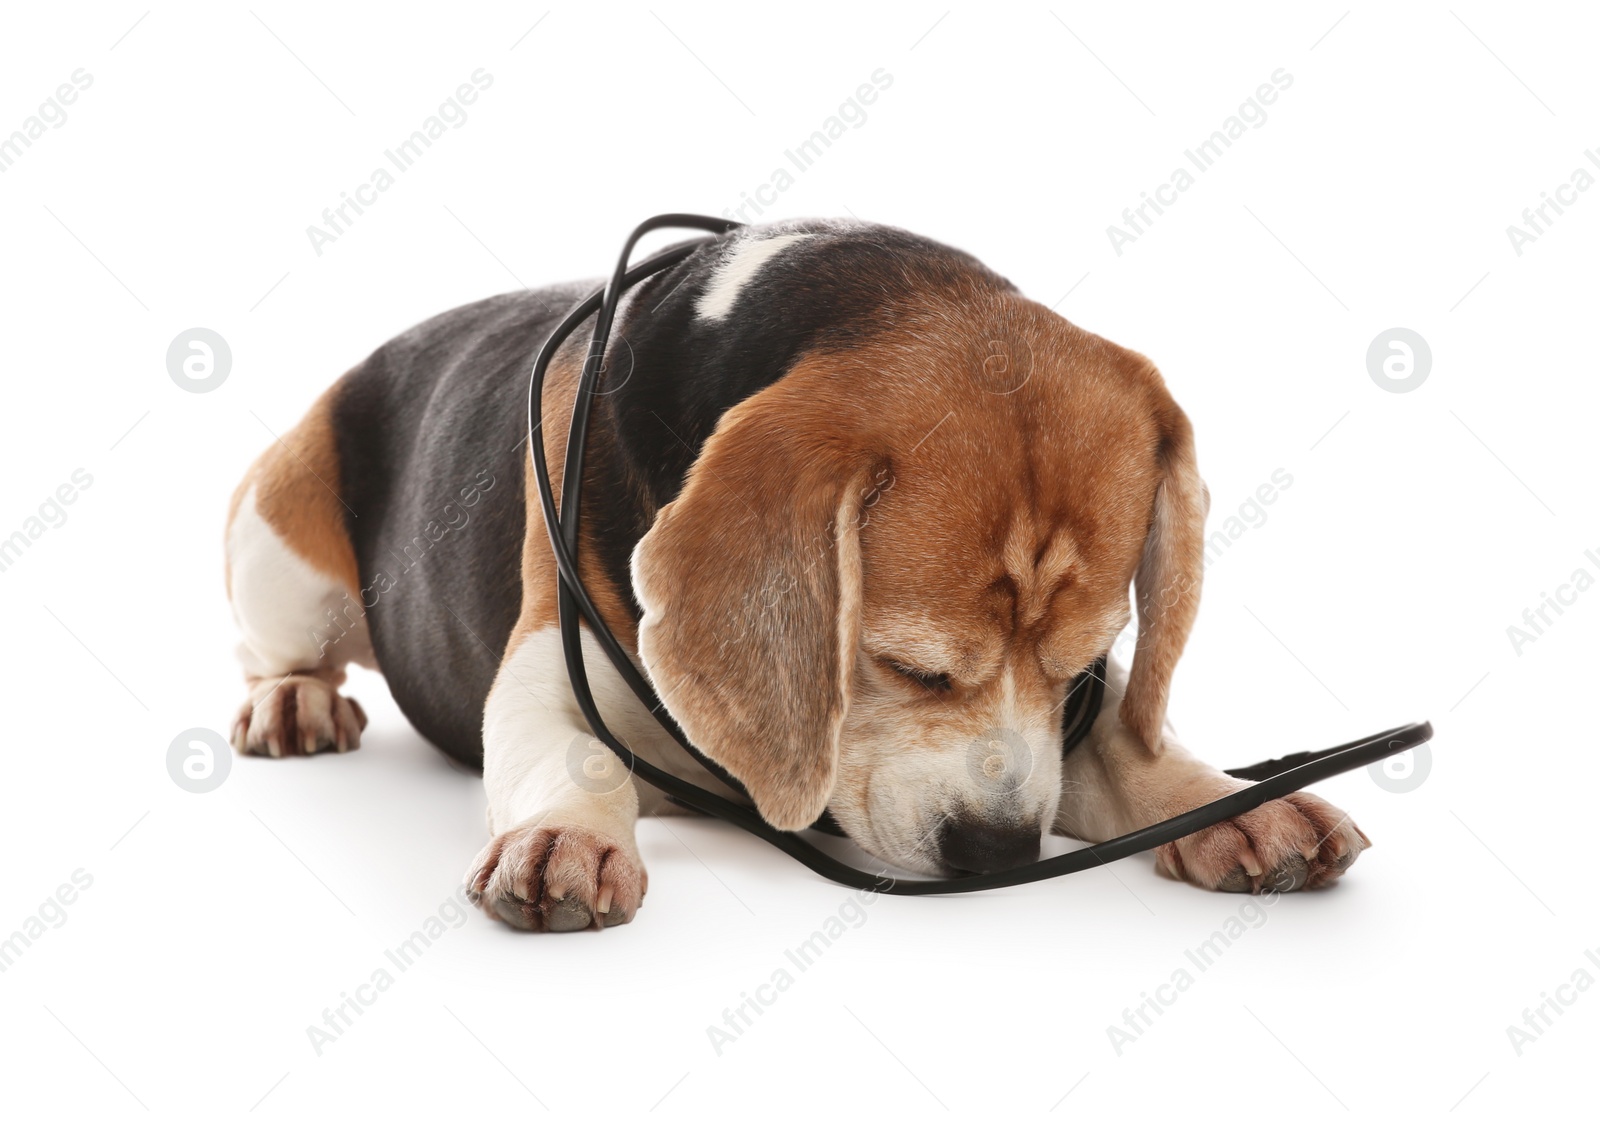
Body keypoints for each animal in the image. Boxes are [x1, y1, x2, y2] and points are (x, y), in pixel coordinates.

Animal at [225, 216, 1369, 928]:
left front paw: (1231, 802)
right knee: (279, 651)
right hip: (278, 545)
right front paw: (561, 838)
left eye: (1081, 667)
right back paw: (292, 702)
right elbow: (577, 759)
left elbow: (1132, 745)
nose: (1000, 854)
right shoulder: (548, 669)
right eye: (907, 668)